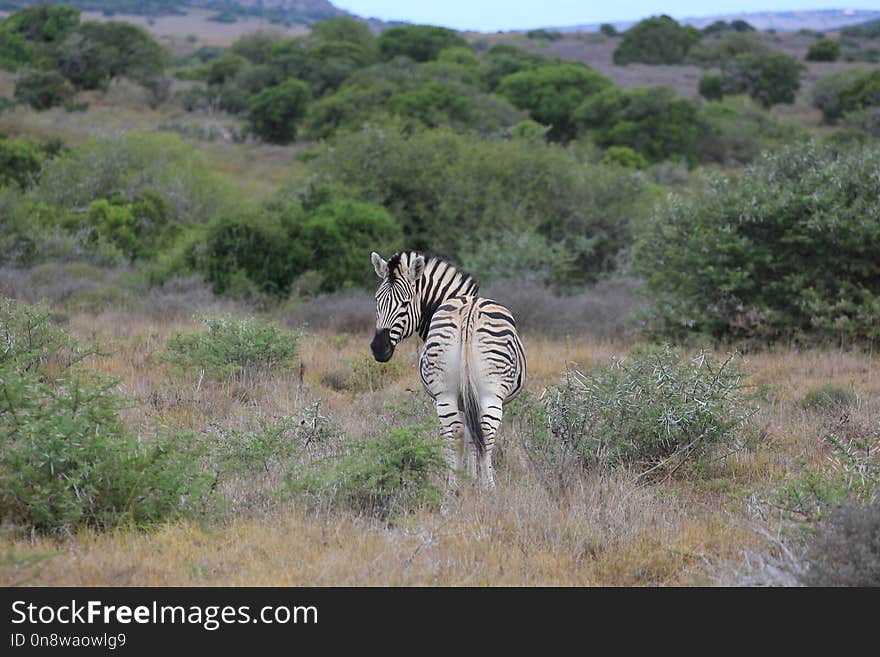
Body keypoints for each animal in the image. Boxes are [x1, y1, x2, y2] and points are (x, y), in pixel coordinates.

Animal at [368, 250, 524, 486]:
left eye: (405, 303)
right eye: (378, 300)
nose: (378, 348)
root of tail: (469, 311)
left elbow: (465, 436)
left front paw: (470, 478)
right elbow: (471, 437)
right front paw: (472, 478)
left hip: (447, 394)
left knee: (461, 433)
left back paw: (458, 489)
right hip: (487, 393)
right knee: (482, 433)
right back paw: (484, 487)